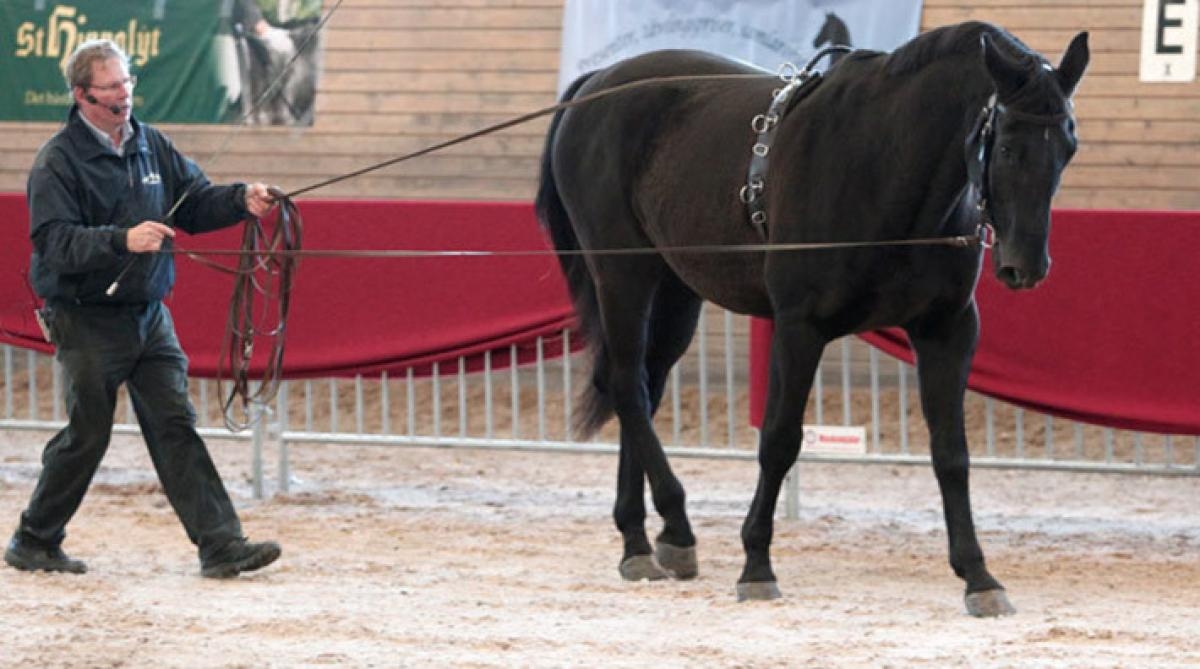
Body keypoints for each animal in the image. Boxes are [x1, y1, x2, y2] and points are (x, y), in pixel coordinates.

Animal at [535, 20, 1089, 618]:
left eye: (1069, 147)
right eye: (1005, 146)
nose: (1025, 265)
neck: (882, 163)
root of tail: (598, 83)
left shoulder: (947, 329)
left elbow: (951, 453)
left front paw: (979, 576)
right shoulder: (800, 327)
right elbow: (780, 440)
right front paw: (756, 565)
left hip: (676, 289)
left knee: (644, 385)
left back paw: (640, 538)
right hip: (623, 274)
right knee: (625, 385)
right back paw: (673, 530)